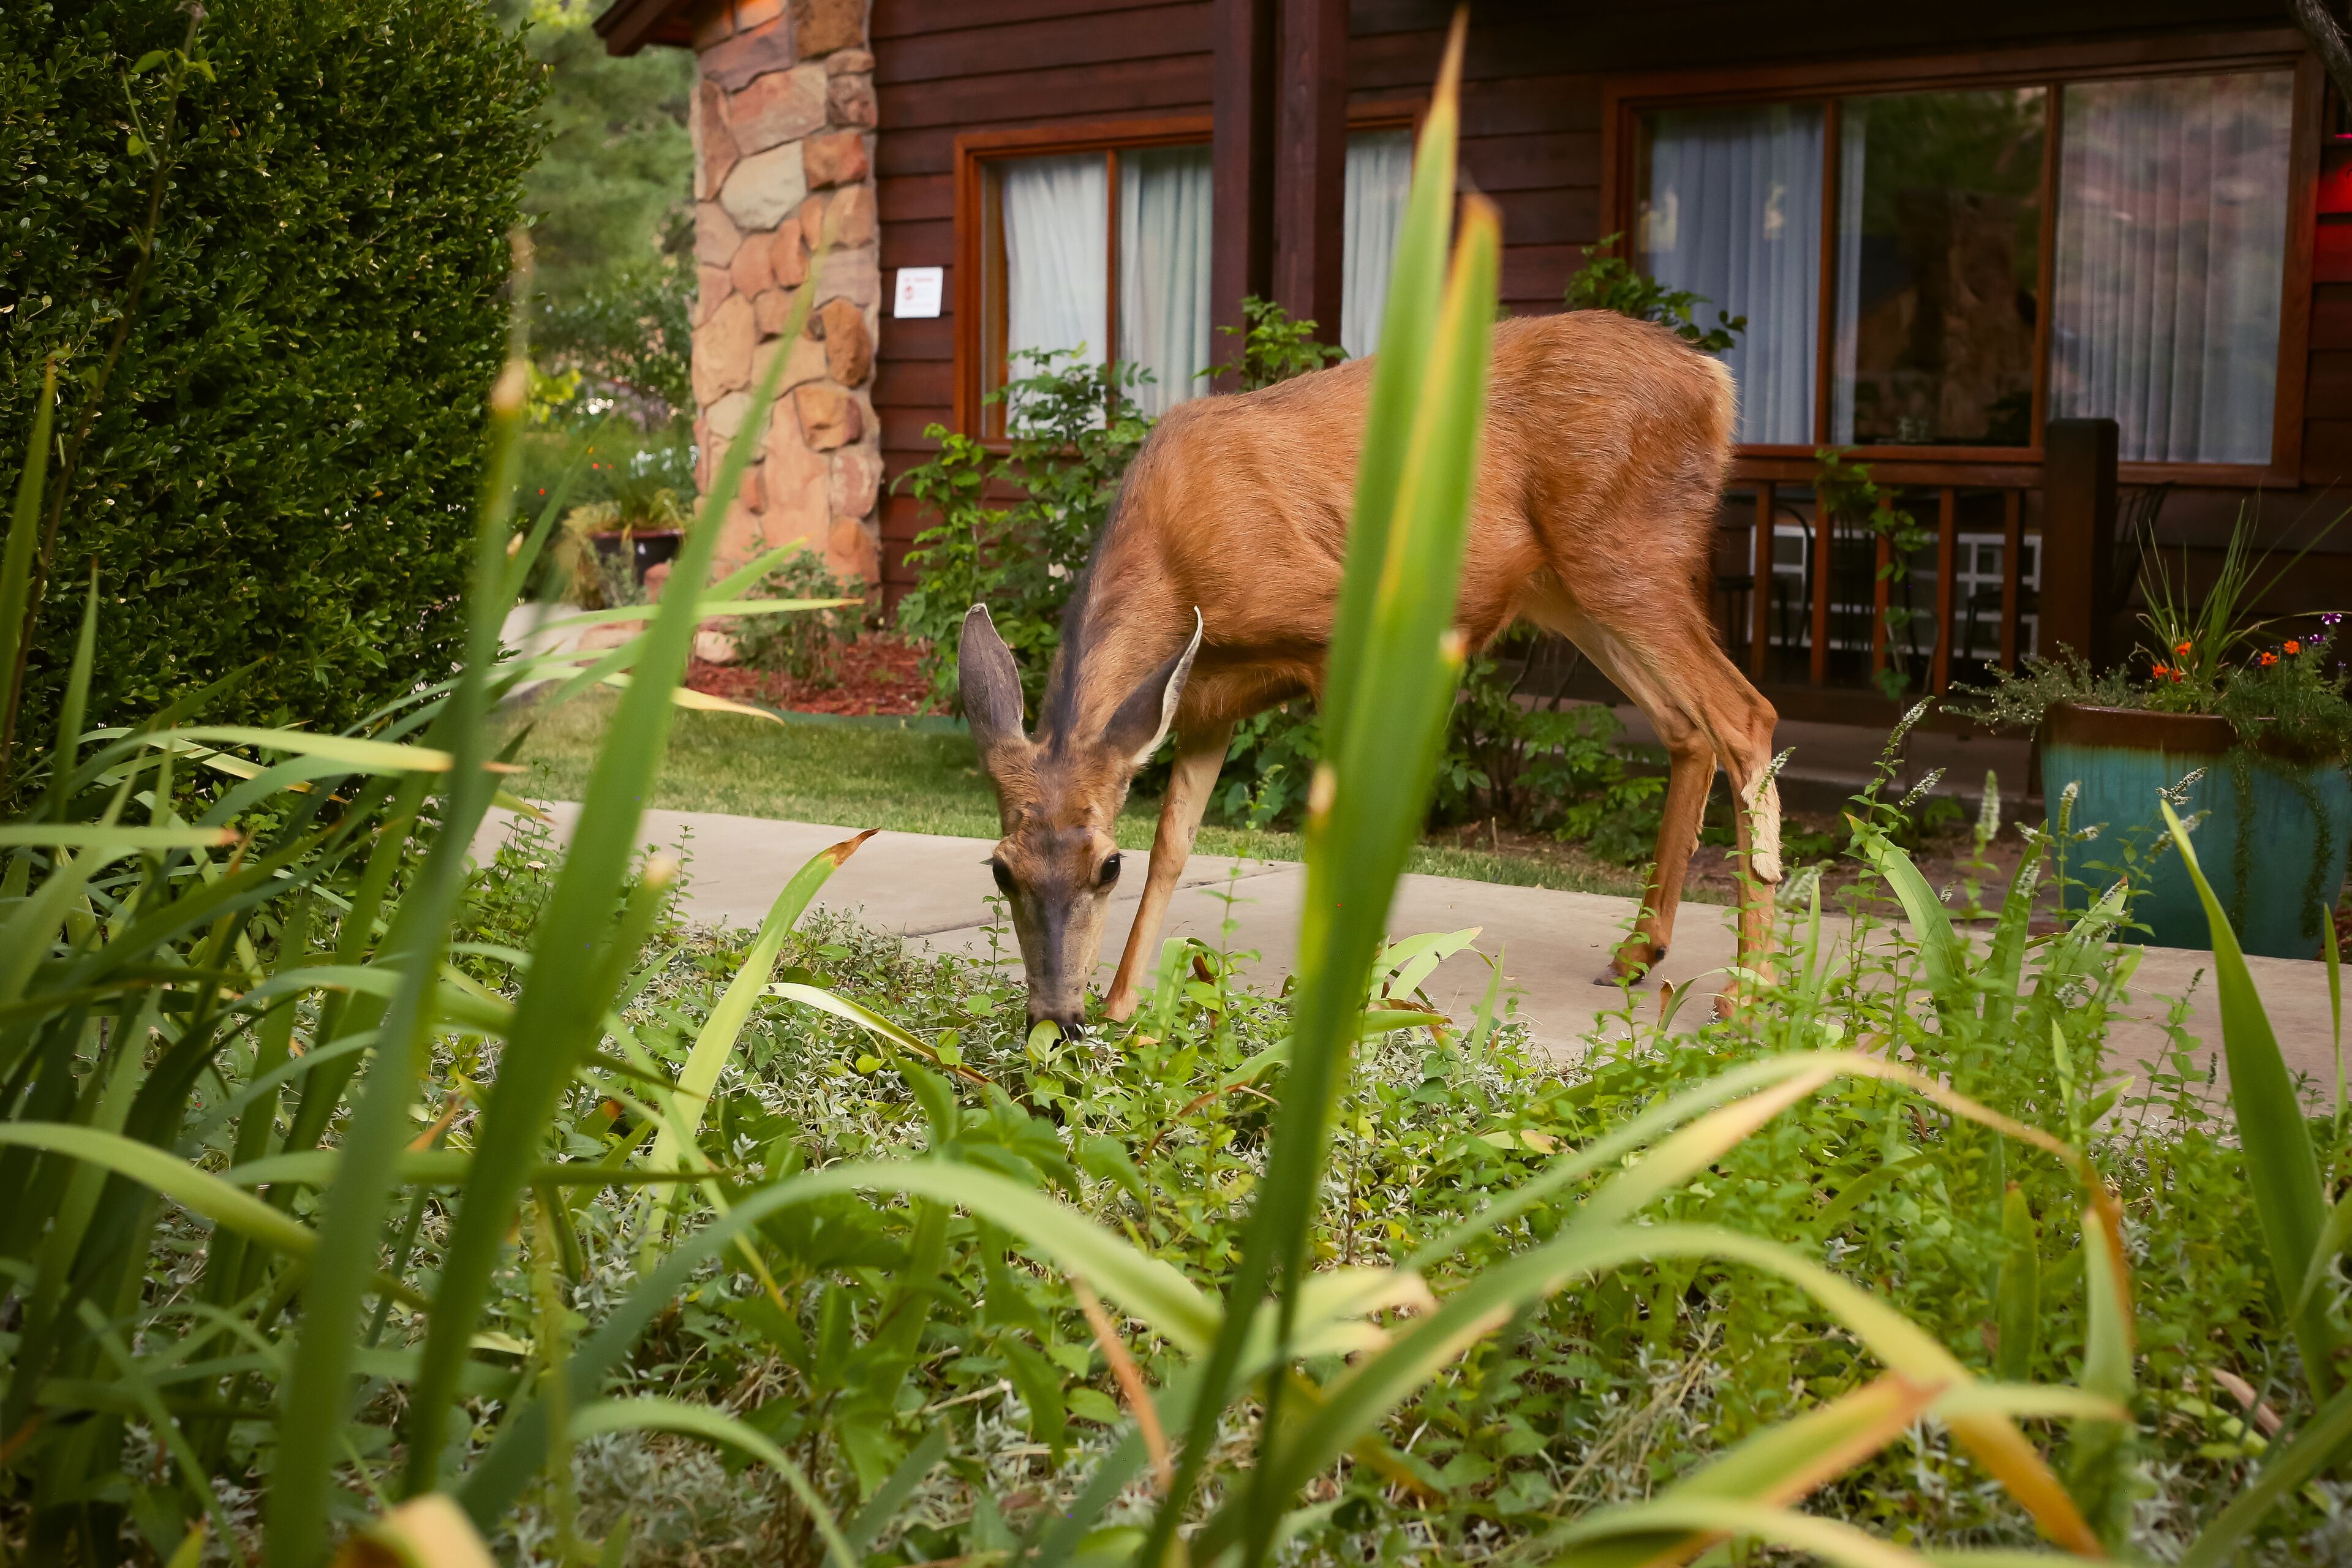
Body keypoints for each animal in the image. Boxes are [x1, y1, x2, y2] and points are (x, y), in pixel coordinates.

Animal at [957, 308, 1784, 1034]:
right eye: (1000, 870)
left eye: (1105, 867)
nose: (1055, 1018)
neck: (1175, 559)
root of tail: (1712, 380)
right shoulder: (1205, 699)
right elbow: (1174, 844)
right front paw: (1124, 1006)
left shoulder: (1339, 633)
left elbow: (1346, 818)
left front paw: (1352, 998)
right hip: (1567, 584)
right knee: (1686, 727)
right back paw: (1638, 952)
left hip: (1627, 546)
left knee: (1746, 714)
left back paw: (1747, 996)